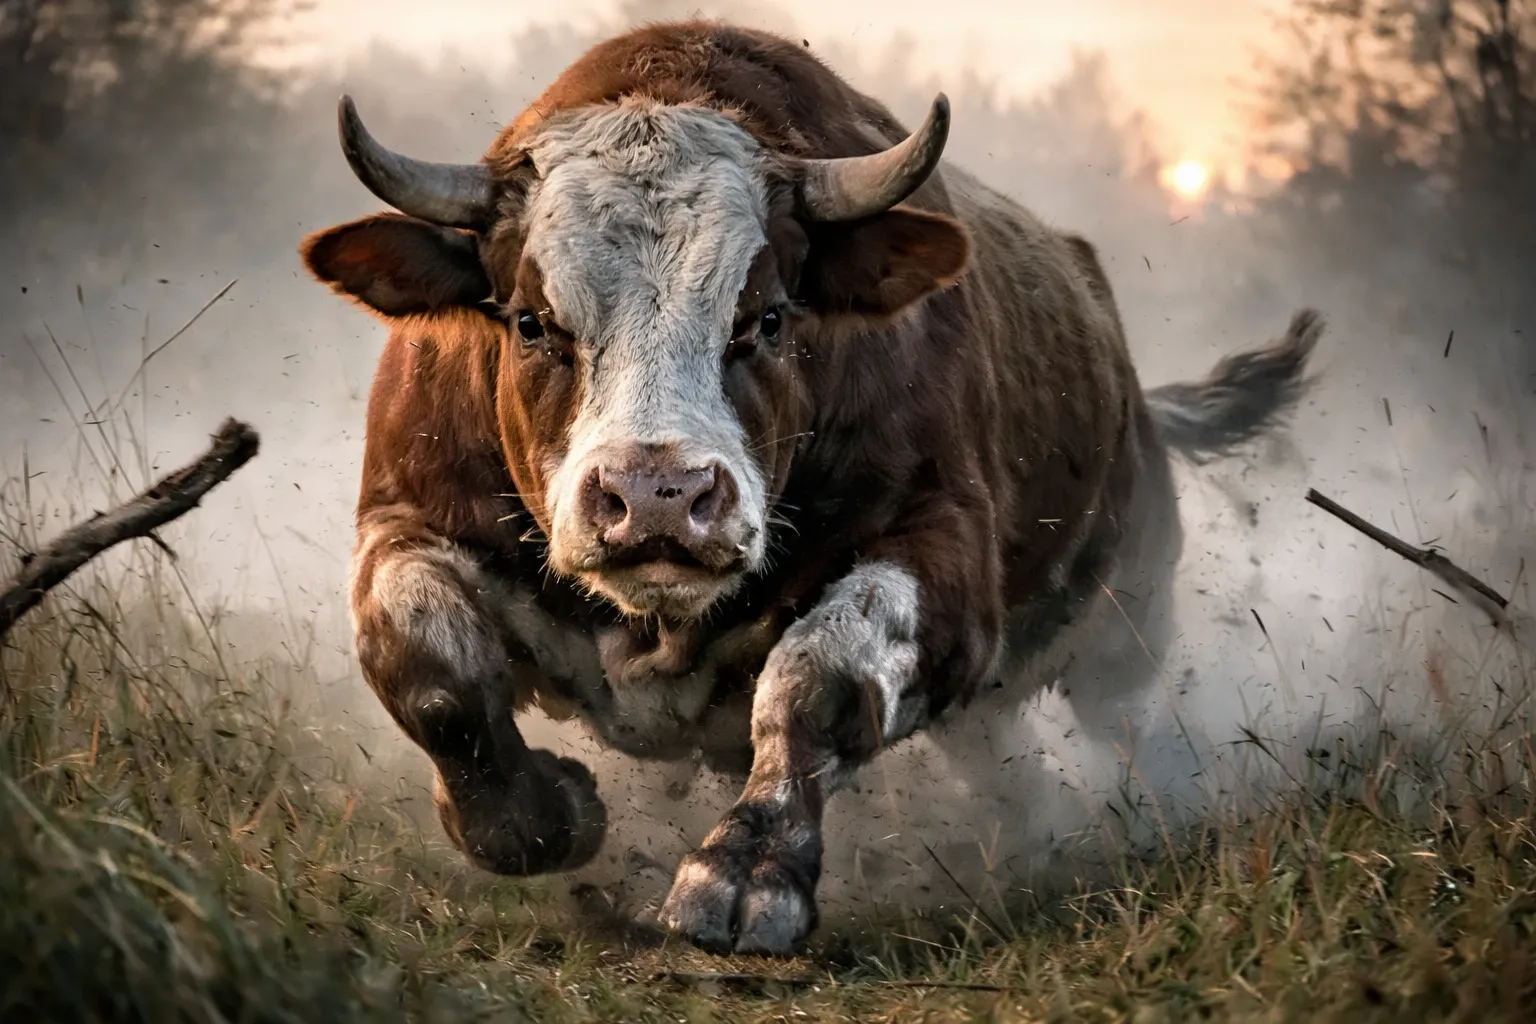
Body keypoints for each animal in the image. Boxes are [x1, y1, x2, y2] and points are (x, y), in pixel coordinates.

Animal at [298, 20, 1322, 956]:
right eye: (530, 323)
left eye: (767, 318)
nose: (657, 495)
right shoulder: (404, 514)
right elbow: (426, 662)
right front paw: (537, 811)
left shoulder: (941, 549)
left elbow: (817, 680)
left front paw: (745, 872)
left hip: (1125, 624)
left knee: (1130, 720)